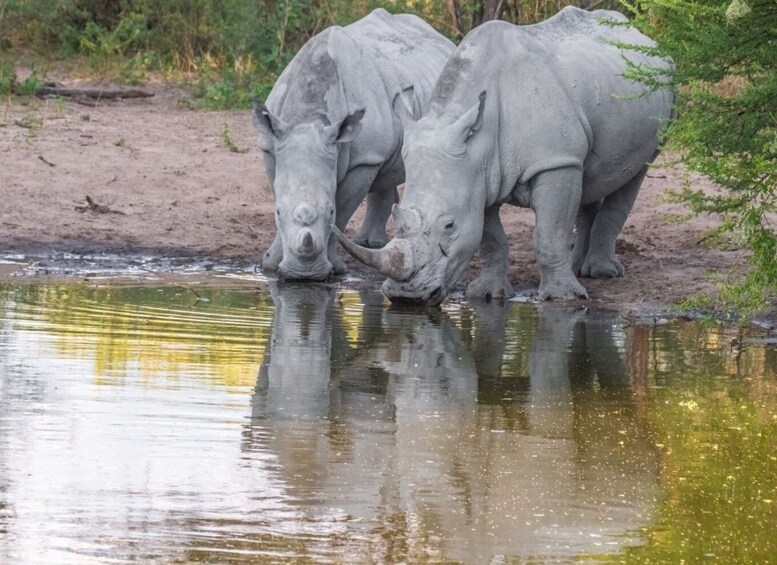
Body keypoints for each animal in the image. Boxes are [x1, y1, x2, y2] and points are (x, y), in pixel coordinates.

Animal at [253, 7, 454, 280]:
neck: (308, 116)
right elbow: (279, 192)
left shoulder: (364, 159)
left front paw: (335, 269)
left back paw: (373, 244)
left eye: (329, 212)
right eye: (276, 212)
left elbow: (343, 209)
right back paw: (369, 243)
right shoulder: (272, 144)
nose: (303, 276)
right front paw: (271, 265)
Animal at [338, 6, 672, 302]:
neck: (479, 142)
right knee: (589, 178)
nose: (405, 297)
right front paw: (487, 294)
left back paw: (602, 274)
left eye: (449, 226)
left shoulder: (553, 161)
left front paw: (563, 298)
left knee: (634, 173)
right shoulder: (477, 175)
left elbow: (549, 235)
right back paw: (580, 269)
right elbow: (490, 239)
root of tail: (644, 37)